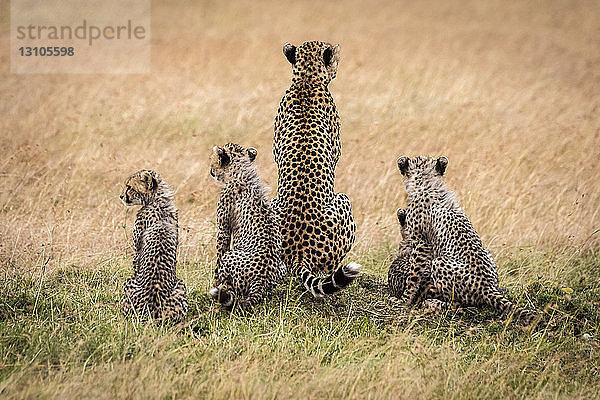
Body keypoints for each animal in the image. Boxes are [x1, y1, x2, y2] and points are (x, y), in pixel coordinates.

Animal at [119, 170, 188, 324]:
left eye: (129, 187)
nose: (121, 196)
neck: (158, 200)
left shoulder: (137, 251)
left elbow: (136, 264)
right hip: (180, 287)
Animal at [211, 144, 286, 310]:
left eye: (214, 158)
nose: (211, 170)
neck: (240, 170)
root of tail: (262, 279)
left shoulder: (223, 230)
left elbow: (219, 254)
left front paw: (215, 282)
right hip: (282, 266)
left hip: (230, 256)